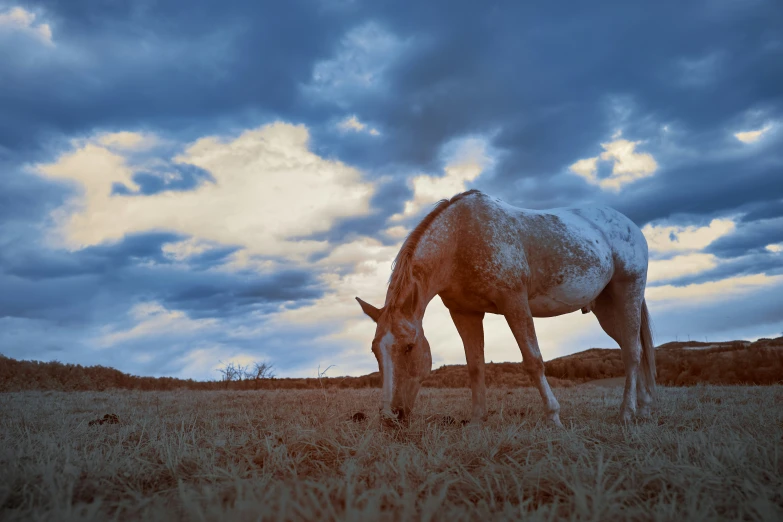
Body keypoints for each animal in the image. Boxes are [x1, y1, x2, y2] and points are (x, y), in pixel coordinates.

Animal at [358, 189, 660, 424]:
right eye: (374, 350)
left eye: (409, 347)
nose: (390, 417)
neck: (461, 238)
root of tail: (631, 226)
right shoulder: (464, 313)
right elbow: (475, 366)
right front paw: (477, 420)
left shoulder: (514, 303)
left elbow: (533, 361)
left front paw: (553, 416)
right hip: (607, 309)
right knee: (634, 347)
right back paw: (644, 410)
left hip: (628, 294)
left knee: (632, 353)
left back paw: (626, 413)